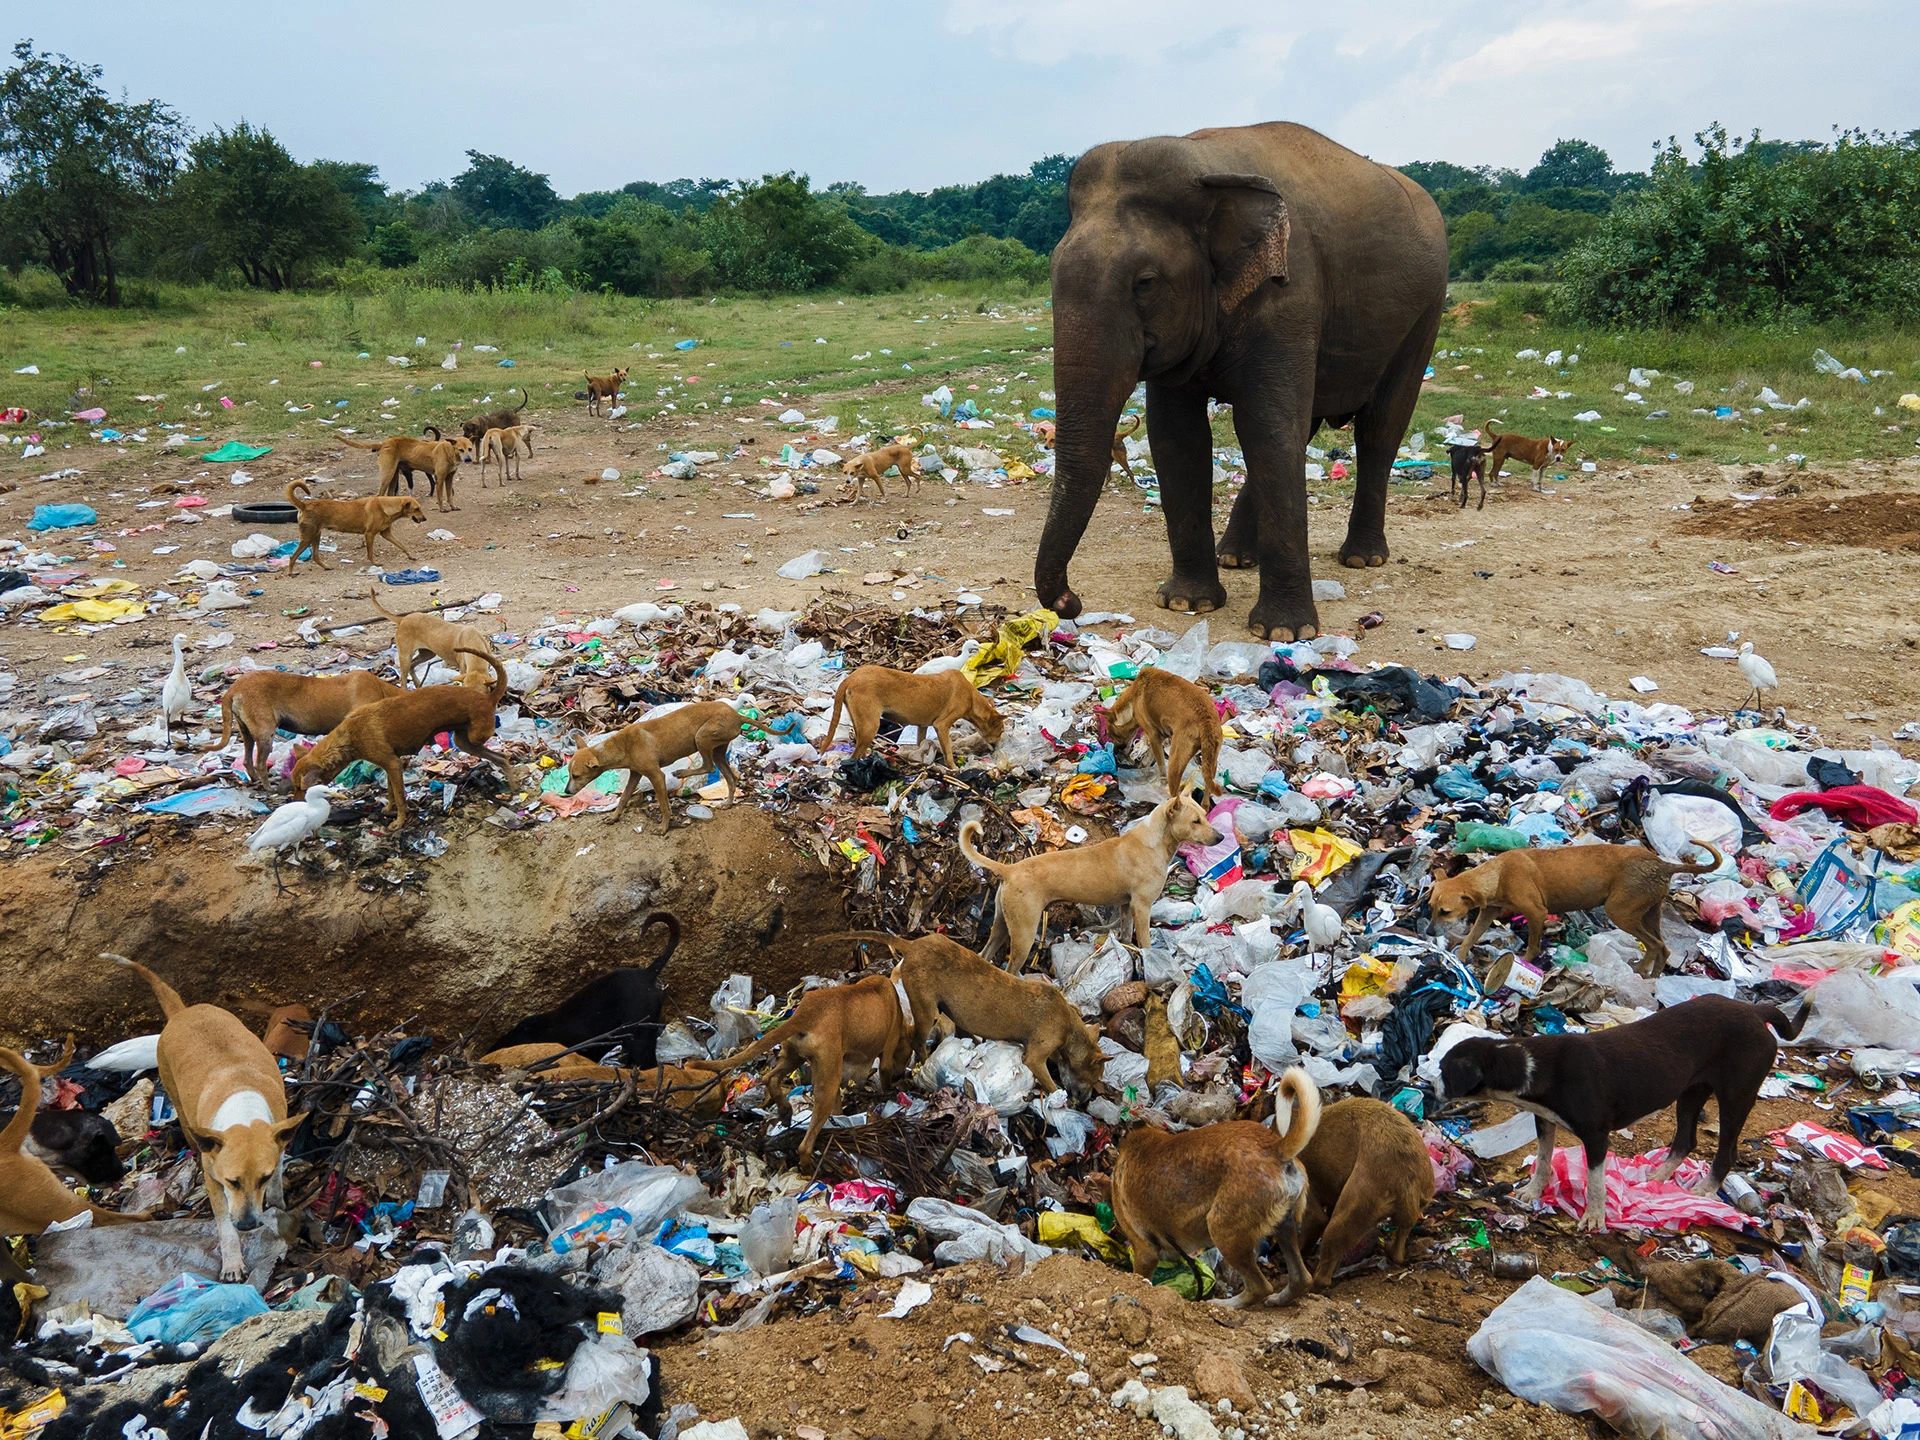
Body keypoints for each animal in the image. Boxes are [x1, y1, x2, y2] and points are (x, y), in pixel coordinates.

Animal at [1035, 122, 1449, 640]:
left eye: (1145, 283)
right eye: (1051, 274)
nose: (1069, 602)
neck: (1205, 162)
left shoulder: (1290, 295)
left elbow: (1266, 428)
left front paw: (1285, 633)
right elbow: (1179, 438)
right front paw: (1187, 603)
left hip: (1426, 313)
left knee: (1379, 428)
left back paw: (1362, 559)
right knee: (1302, 429)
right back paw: (1234, 557)